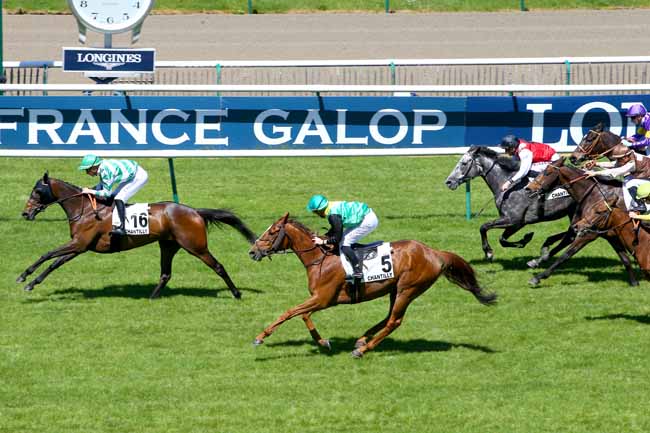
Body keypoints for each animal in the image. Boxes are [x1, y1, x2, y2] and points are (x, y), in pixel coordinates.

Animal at [19, 172, 257, 298]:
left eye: (37, 191)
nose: (25, 213)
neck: (84, 208)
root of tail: (195, 212)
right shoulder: (80, 246)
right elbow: (54, 262)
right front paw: (31, 283)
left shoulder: (78, 244)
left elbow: (47, 254)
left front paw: (23, 276)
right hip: (168, 245)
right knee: (165, 274)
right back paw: (151, 298)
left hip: (195, 246)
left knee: (218, 266)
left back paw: (236, 293)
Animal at [248, 213, 497, 358]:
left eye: (272, 232)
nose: (252, 251)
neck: (320, 259)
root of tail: (434, 252)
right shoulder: (320, 299)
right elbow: (303, 315)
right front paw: (323, 342)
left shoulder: (323, 299)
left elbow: (290, 312)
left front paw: (260, 336)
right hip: (395, 289)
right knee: (389, 318)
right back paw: (361, 340)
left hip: (408, 289)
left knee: (394, 321)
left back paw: (363, 349)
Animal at [445, 146, 577, 267]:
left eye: (464, 163)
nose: (448, 182)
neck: (509, 187)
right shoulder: (515, 222)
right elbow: (502, 239)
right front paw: (525, 239)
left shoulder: (515, 221)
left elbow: (484, 227)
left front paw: (488, 252)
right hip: (572, 212)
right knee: (571, 234)